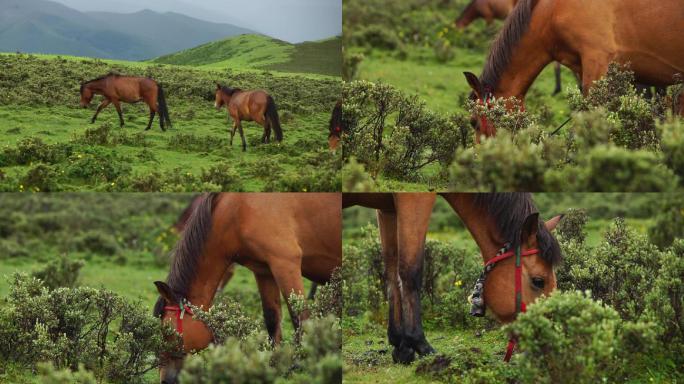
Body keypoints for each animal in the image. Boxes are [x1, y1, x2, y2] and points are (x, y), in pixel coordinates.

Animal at [152, 194, 340, 382]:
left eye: (168, 334)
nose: (165, 380)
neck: (237, 212)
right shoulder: (264, 271)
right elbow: (272, 320)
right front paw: (274, 366)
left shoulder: (286, 263)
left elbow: (300, 318)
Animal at [342, 194, 560, 364]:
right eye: (538, 281)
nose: (547, 344)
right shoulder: (414, 200)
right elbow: (410, 272)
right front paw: (421, 345)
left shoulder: (387, 209)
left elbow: (391, 273)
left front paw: (401, 346)